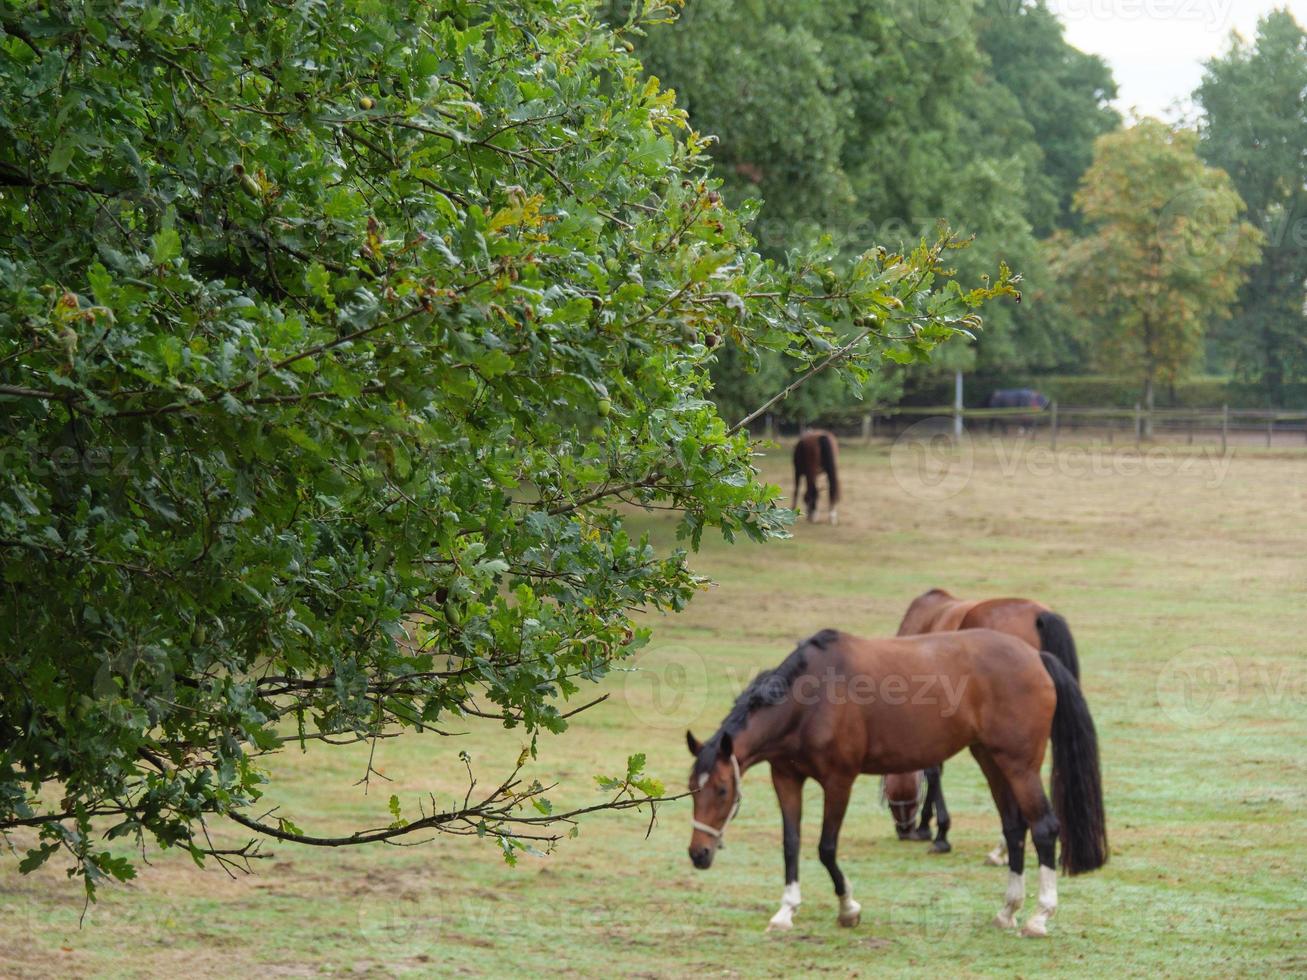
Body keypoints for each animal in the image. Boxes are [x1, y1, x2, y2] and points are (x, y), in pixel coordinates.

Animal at [690, 624, 1108, 940]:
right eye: (693, 789)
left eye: (723, 790)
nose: (698, 854)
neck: (809, 699)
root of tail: (1035, 657)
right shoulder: (786, 778)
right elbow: (791, 844)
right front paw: (786, 910)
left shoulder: (839, 781)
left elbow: (826, 847)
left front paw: (848, 908)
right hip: (991, 760)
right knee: (1015, 827)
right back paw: (1008, 910)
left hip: (1020, 765)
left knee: (1044, 827)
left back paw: (1039, 917)